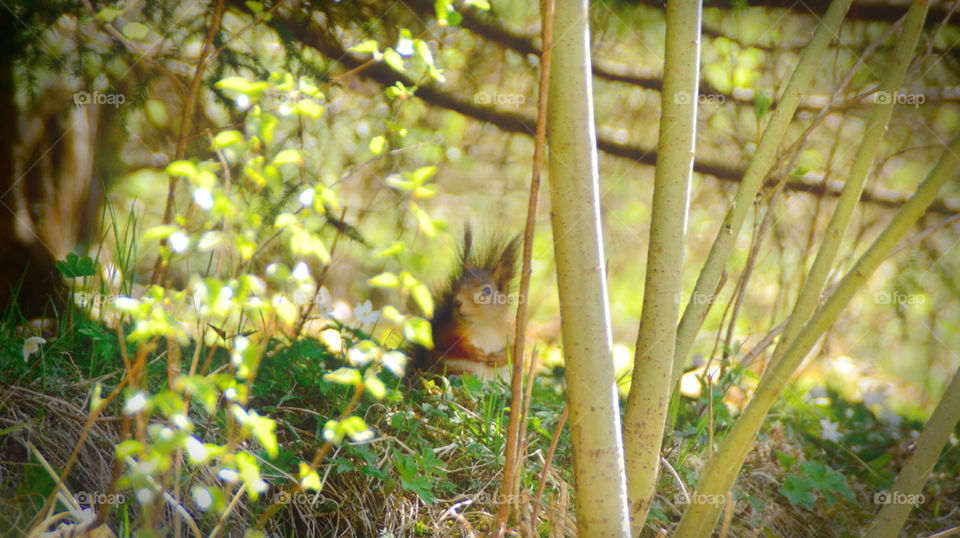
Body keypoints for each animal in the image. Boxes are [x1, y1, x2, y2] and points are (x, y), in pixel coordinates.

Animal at [410, 226, 516, 382]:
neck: (485, 324)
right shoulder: (449, 329)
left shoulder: (512, 329)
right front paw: (475, 353)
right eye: (456, 285)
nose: (457, 302)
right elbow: (444, 341)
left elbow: (517, 351)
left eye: (486, 290)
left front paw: (498, 358)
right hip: (454, 373)